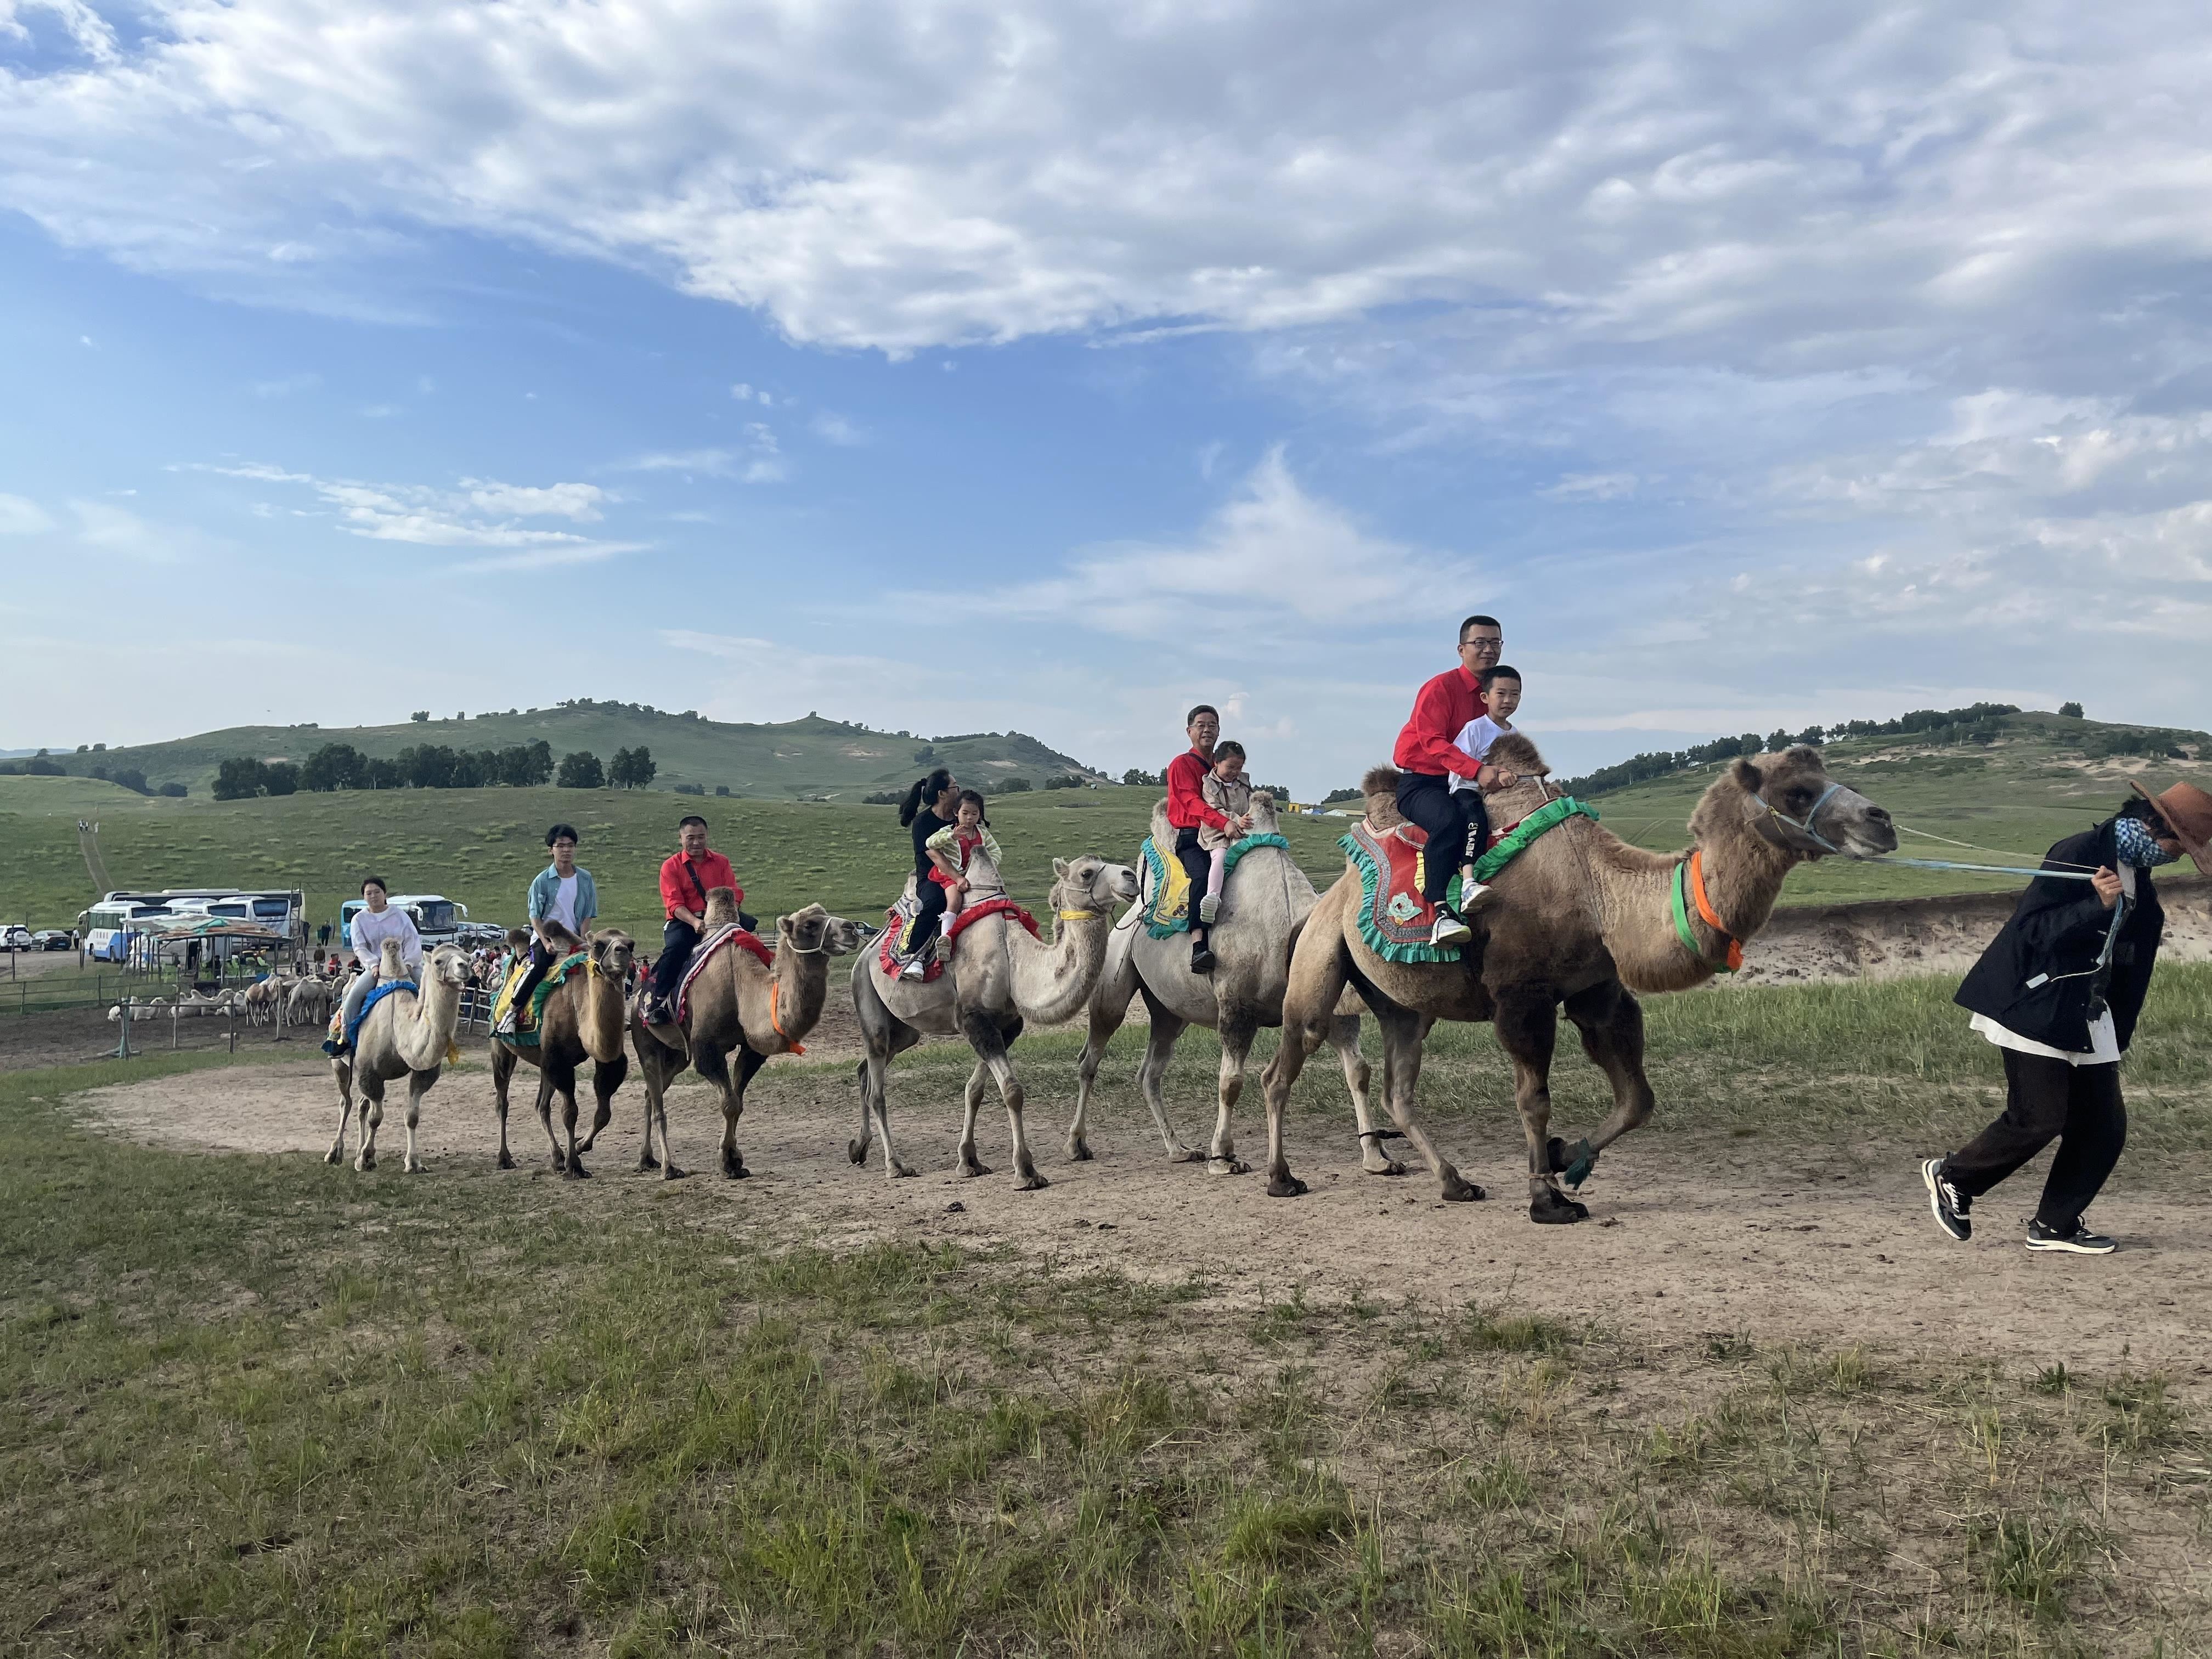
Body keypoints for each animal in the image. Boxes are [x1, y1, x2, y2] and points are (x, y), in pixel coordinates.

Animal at [495, 924, 641, 1186]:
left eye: (631, 943)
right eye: (599, 945)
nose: (622, 953)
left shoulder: (606, 1061)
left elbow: (604, 1113)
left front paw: (581, 1147)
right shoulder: (559, 1061)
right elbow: (570, 1113)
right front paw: (574, 1166)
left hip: (543, 1061)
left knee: (541, 1106)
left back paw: (556, 1158)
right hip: (502, 1049)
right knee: (503, 1101)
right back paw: (505, 1158)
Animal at [628, 898, 867, 1186]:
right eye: (810, 924)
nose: (851, 929)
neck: (741, 988)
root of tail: (636, 997)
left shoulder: (751, 1050)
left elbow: (738, 1103)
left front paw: (733, 1161)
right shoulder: (707, 1048)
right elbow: (729, 1103)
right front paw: (728, 1162)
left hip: (677, 1057)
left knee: (650, 1095)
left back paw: (646, 1160)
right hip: (646, 1044)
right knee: (657, 1102)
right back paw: (668, 1167)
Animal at [1265, 738, 1902, 1221]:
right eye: (1797, 791)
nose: (1883, 821)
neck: (1601, 895)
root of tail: (1327, 900)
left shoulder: (1599, 992)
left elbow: (1638, 1099)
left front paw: (1565, 1157)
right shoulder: (1522, 998)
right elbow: (1534, 1099)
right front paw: (1546, 1199)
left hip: (1405, 1006)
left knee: (1399, 1090)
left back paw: (1455, 1182)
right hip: (1320, 962)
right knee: (1285, 1064)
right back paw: (1281, 1178)